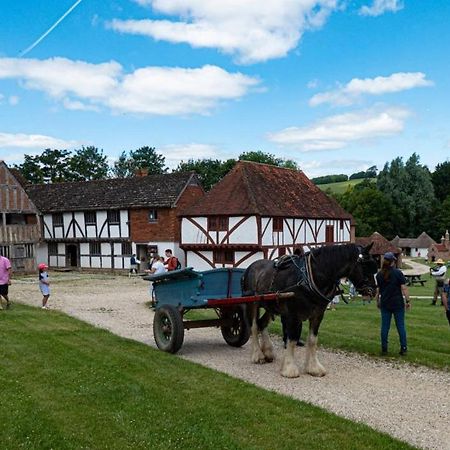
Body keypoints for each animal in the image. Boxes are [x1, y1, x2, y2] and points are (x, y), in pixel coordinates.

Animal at [241, 243, 378, 376]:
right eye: (365, 266)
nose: (373, 291)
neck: (310, 278)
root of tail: (251, 266)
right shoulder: (293, 315)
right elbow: (292, 339)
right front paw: (289, 369)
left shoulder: (318, 314)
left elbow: (312, 340)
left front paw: (313, 368)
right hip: (252, 303)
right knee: (254, 327)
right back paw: (258, 355)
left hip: (272, 305)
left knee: (262, 323)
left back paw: (268, 352)